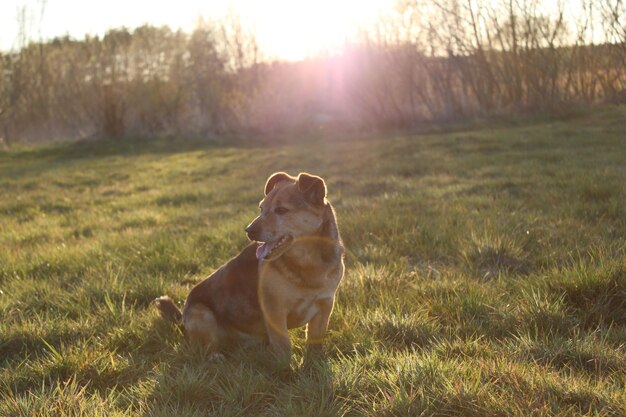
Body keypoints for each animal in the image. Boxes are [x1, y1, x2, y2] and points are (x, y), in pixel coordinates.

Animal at [154, 171, 344, 360]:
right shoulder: (274, 311)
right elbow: (284, 346)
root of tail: (182, 320)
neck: (308, 262)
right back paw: (216, 356)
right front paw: (285, 368)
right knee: (205, 347)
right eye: (261, 208)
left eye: (281, 210)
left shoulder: (325, 306)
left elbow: (314, 343)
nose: (249, 231)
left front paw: (313, 364)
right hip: (202, 314)